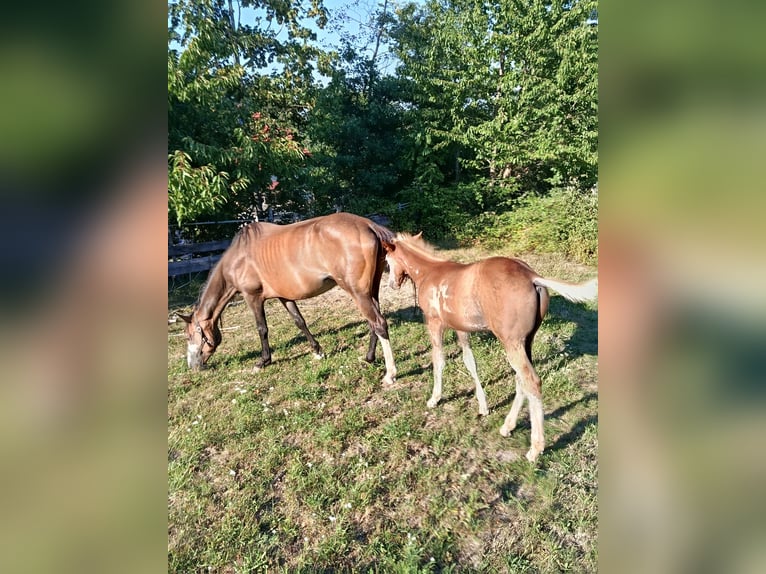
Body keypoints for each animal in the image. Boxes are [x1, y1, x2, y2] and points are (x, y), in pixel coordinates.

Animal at [178, 213, 397, 385]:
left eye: (190, 335)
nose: (192, 366)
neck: (239, 258)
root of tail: (368, 225)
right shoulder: (284, 296)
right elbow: (300, 322)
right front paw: (318, 351)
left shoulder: (253, 297)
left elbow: (262, 329)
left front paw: (263, 361)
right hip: (371, 291)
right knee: (373, 323)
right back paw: (369, 358)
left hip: (358, 293)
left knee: (378, 323)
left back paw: (390, 374)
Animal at [382, 233, 597, 462]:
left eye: (387, 260)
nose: (392, 284)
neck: (430, 272)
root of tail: (532, 276)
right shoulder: (461, 328)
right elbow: (470, 362)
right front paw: (483, 406)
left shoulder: (434, 323)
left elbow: (438, 361)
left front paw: (435, 398)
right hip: (526, 341)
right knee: (521, 380)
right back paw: (508, 426)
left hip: (511, 342)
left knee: (531, 381)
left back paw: (535, 448)